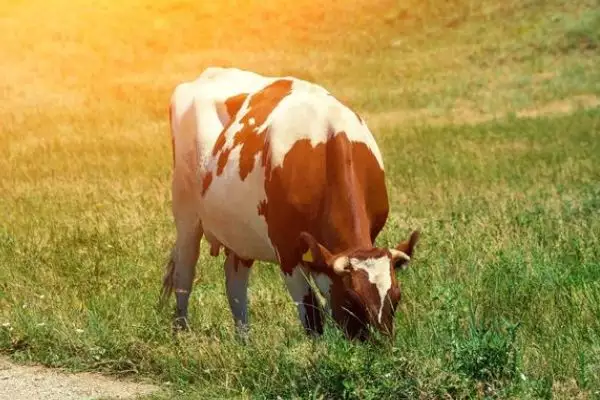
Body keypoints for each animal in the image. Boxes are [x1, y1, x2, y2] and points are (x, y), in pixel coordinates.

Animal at [162, 67, 420, 342]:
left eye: (396, 298)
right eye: (352, 299)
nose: (381, 345)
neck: (328, 141)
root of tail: (210, 73)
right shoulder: (286, 249)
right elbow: (312, 313)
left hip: (239, 231)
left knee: (234, 281)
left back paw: (245, 342)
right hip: (186, 214)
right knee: (184, 274)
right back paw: (181, 332)